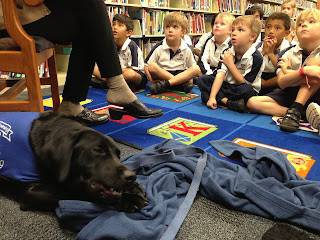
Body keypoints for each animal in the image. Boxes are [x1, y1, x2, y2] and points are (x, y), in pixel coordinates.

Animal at [0, 112, 148, 212]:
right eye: (97, 150)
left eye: (118, 155)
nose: (132, 176)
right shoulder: (30, 192)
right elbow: (77, 192)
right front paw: (129, 199)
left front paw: (133, 187)